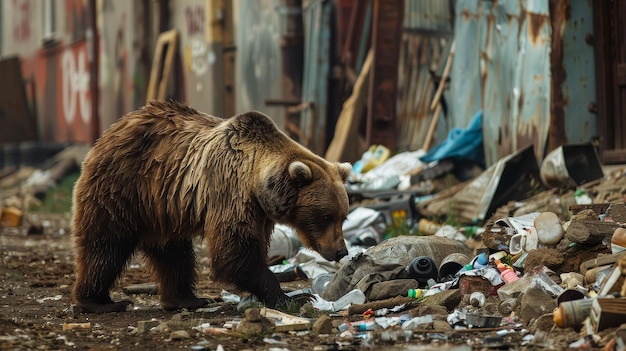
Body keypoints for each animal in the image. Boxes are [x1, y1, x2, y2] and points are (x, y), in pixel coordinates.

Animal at [72, 99, 352, 314]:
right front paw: (294, 298)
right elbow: (234, 250)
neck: (258, 182)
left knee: (173, 253)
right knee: (106, 245)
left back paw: (187, 299)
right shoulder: (231, 191)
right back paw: (100, 302)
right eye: (326, 216)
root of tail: (111, 130)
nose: (341, 251)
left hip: (162, 206)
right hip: (122, 186)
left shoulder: (260, 213)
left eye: (343, 217)